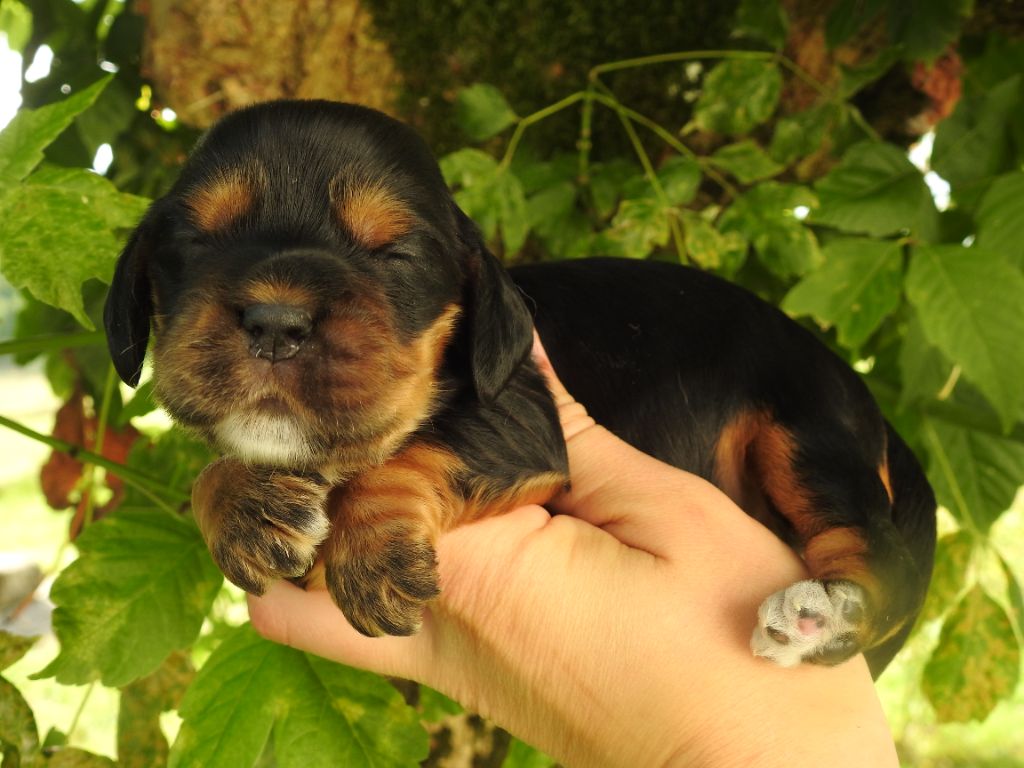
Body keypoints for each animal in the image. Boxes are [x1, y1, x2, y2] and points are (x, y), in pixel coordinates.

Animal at [105, 99, 937, 675]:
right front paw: (243, 505)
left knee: (881, 551)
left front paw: (370, 549)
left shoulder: (523, 421)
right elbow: (214, 471)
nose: (275, 321)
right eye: (195, 240)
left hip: (805, 437)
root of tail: (869, 404)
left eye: (395, 254)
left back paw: (819, 617)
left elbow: (420, 448)